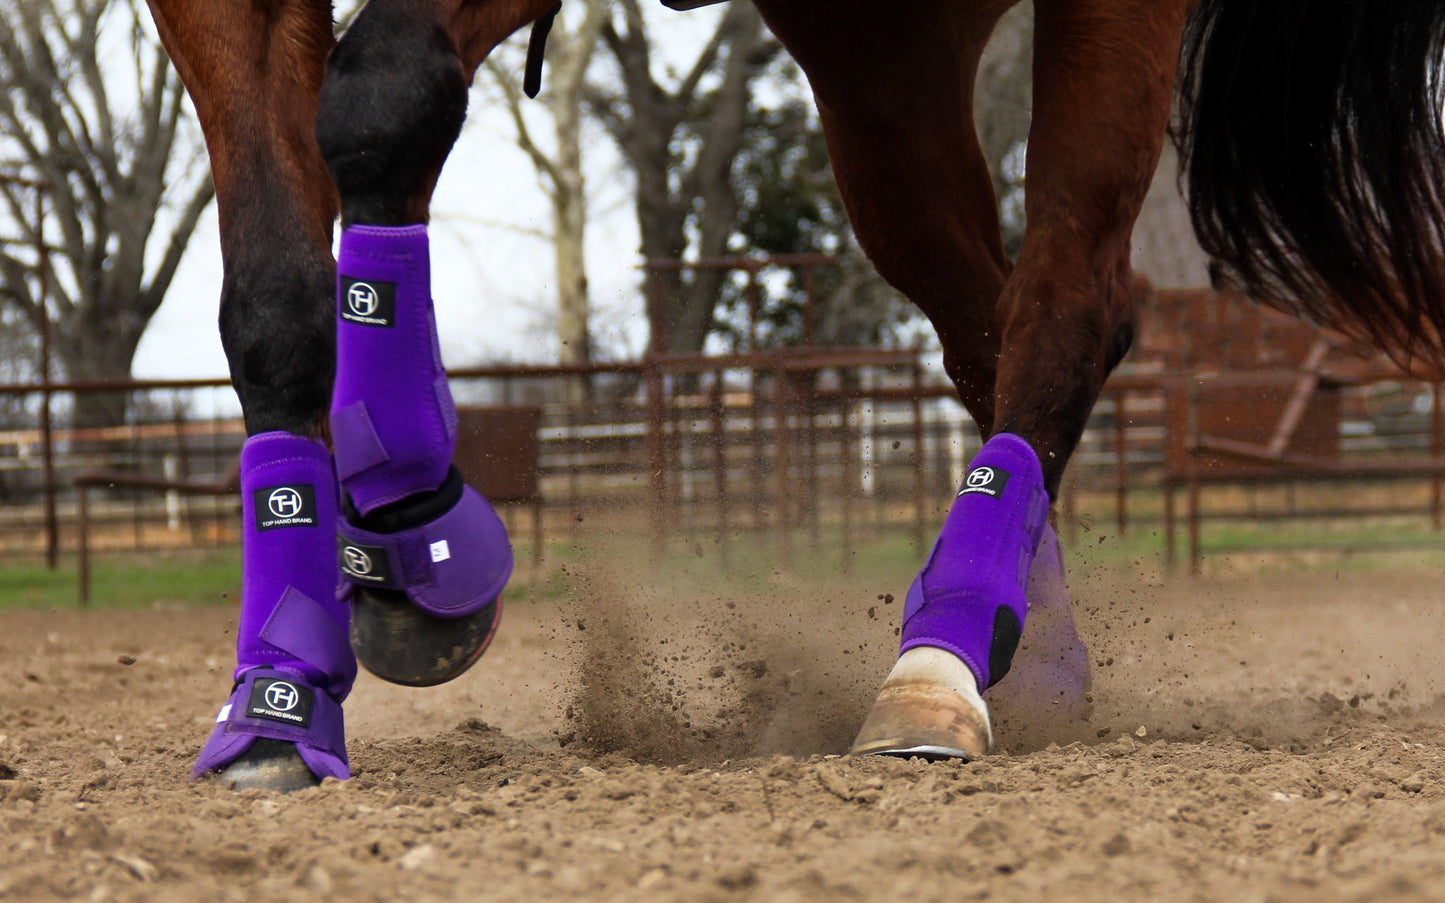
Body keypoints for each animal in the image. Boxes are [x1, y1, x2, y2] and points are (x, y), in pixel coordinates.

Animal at [140, 0, 1445, 785]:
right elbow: (277, 296)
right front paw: (282, 695)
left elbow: (385, 90)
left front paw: (415, 522)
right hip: (881, 51)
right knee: (987, 325)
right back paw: (1034, 653)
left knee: (1068, 298)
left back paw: (940, 659)